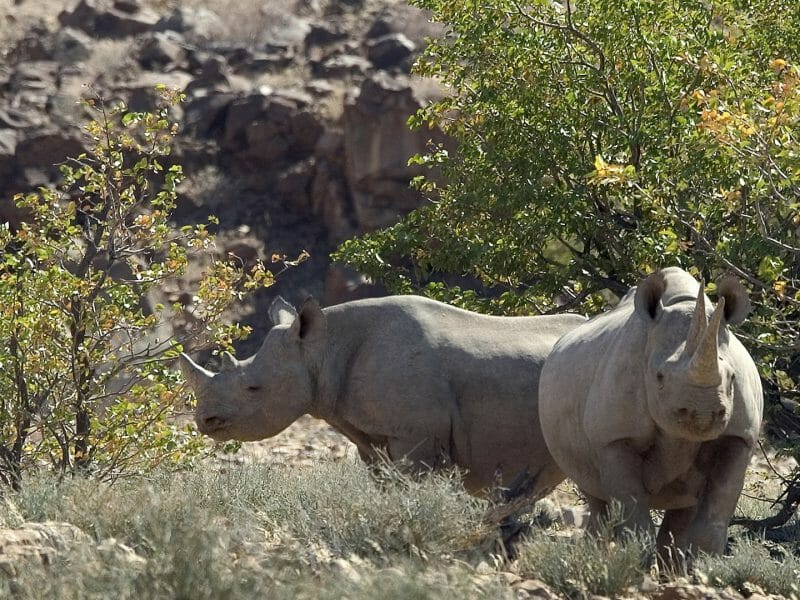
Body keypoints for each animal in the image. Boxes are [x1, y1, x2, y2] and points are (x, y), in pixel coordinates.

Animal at [180, 294, 587, 496]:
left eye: (253, 388)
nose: (205, 421)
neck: (322, 348)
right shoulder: (371, 434)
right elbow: (384, 484)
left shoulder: (415, 435)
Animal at [538, 267, 763, 555]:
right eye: (659, 377)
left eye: (733, 377)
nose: (701, 414)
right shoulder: (614, 437)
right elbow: (635, 524)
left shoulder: (739, 436)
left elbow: (713, 519)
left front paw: (703, 562)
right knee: (595, 495)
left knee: (683, 508)